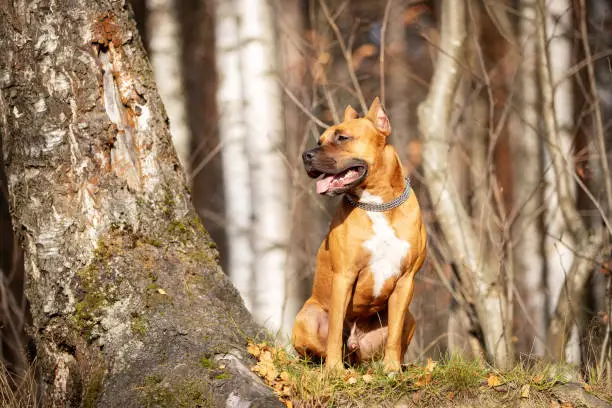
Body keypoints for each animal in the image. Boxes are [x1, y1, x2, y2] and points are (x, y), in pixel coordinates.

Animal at [290, 98, 426, 372]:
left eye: (342, 138)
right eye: (319, 141)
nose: (306, 155)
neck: (378, 204)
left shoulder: (406, 281)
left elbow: (394, 334)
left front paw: (392, 368)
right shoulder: (344, 275)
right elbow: (334, 331)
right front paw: (333, 370)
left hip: (409, 318)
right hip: (308, 317)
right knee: (318, 348)